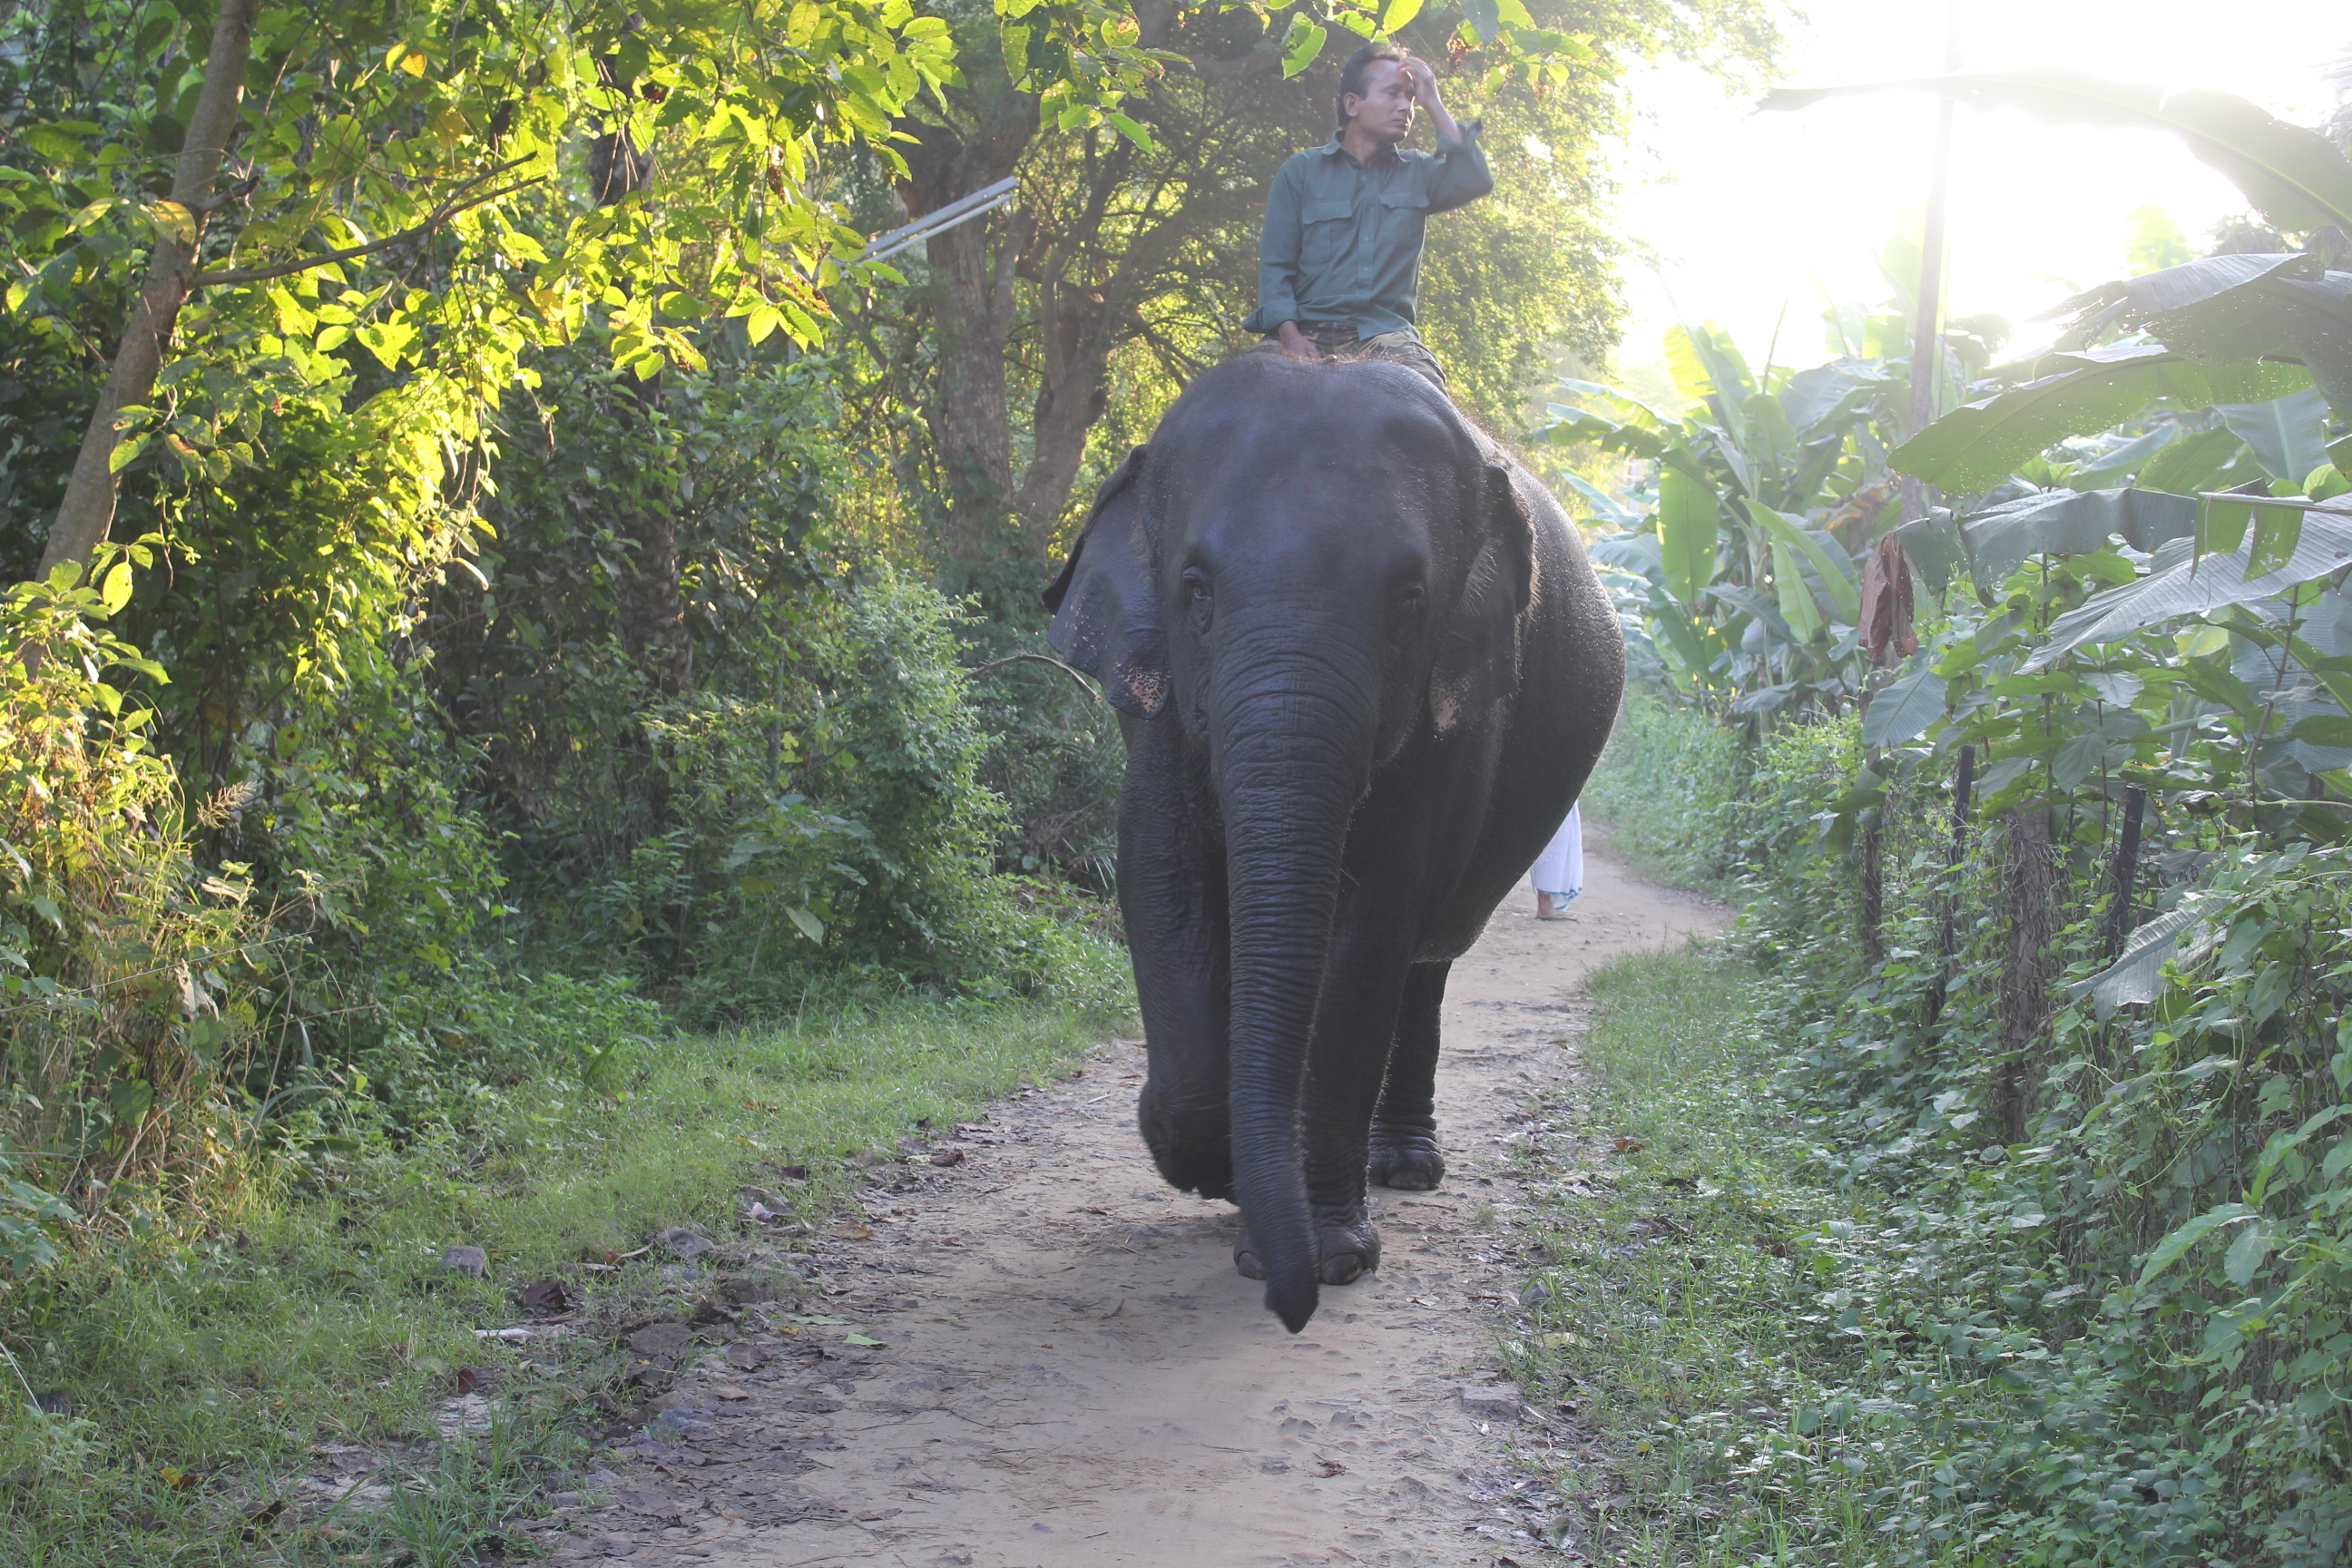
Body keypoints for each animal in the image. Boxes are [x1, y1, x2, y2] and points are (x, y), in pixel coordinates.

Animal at [1044, 350, 1618, 1335]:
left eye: (1410, 600)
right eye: (1195, 589)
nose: (1292, 1308)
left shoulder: (1455, 715)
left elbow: (1370, 932)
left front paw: (1332, 1256)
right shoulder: (1158, 715)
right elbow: (1162, 879)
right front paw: (1200, 1155)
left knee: (1425, 959)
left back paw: (1404, 1170)